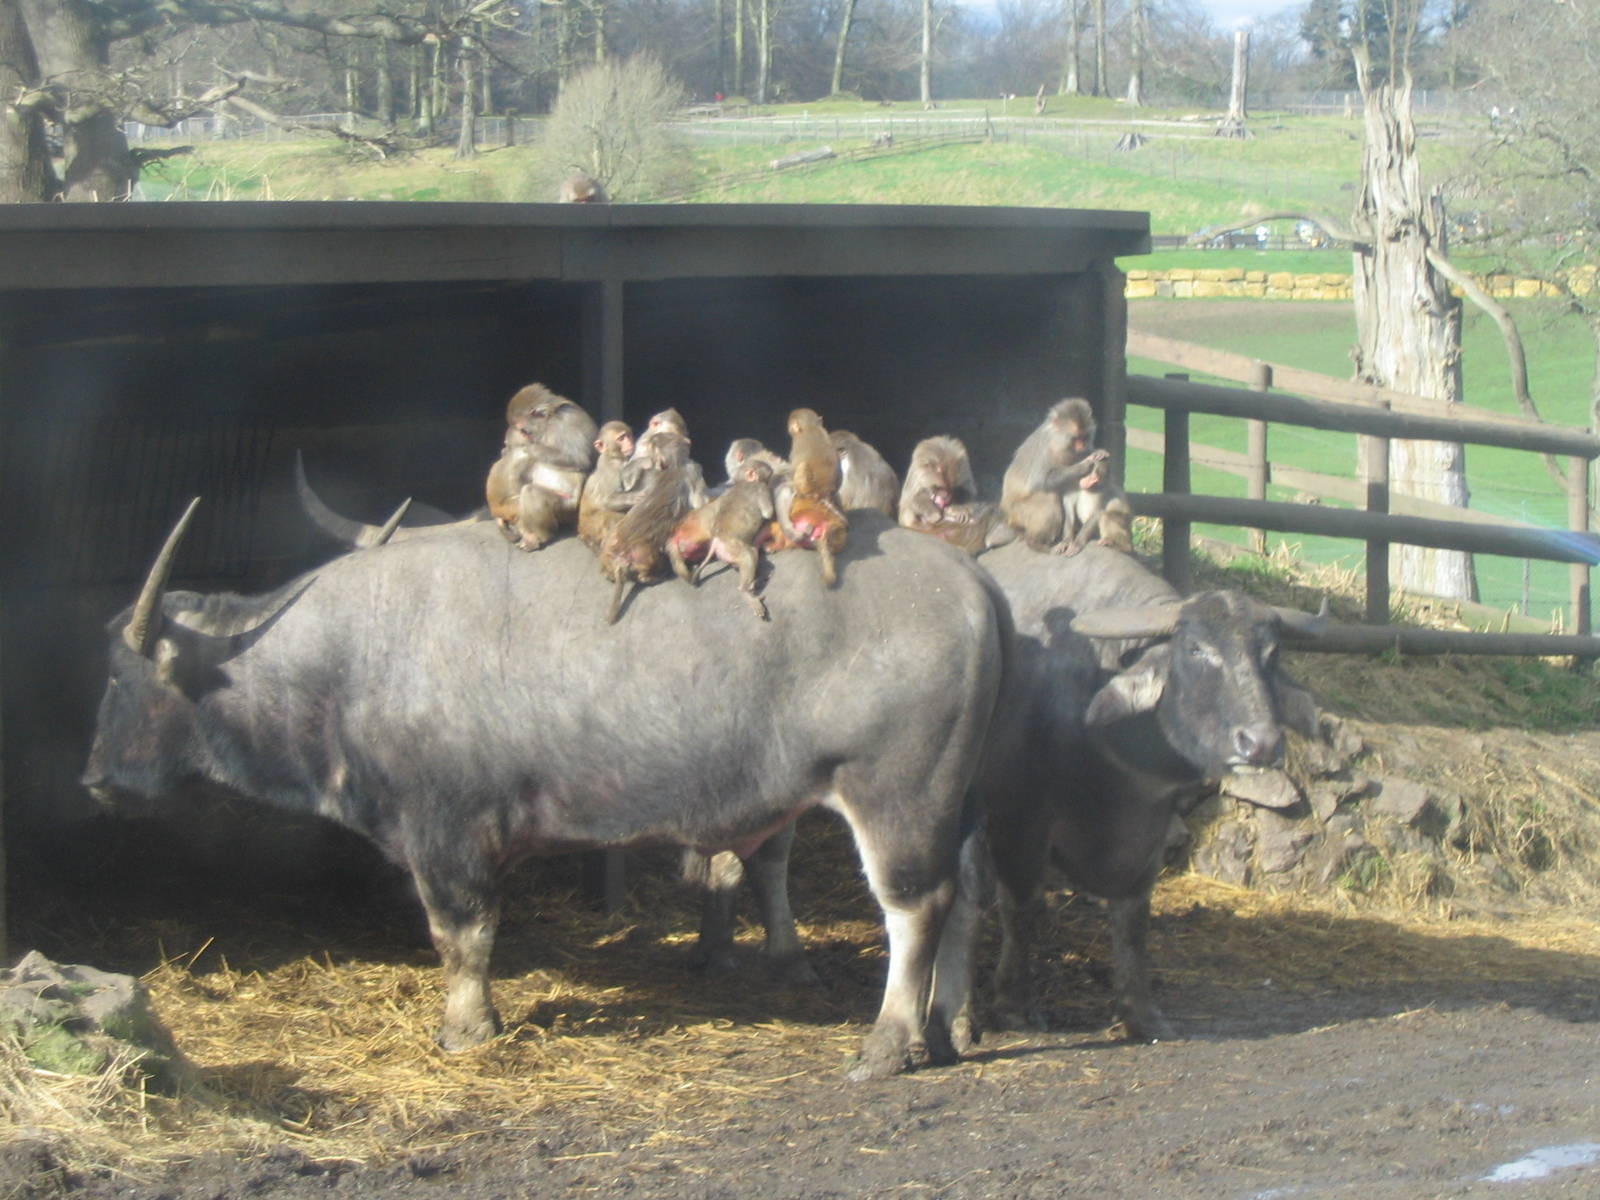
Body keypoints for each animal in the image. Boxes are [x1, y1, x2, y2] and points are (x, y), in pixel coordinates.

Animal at [82, 504, 1009, 1080]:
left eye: (121, 677)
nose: (93, 779)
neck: (349, 653)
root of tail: (970, 583)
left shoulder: (447, 833)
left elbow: (461, 936)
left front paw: (466, 1030)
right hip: (959, 803)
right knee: (965, 902)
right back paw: (951, 1028)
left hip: (897, 794)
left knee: (915, 909)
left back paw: (889, 1042)